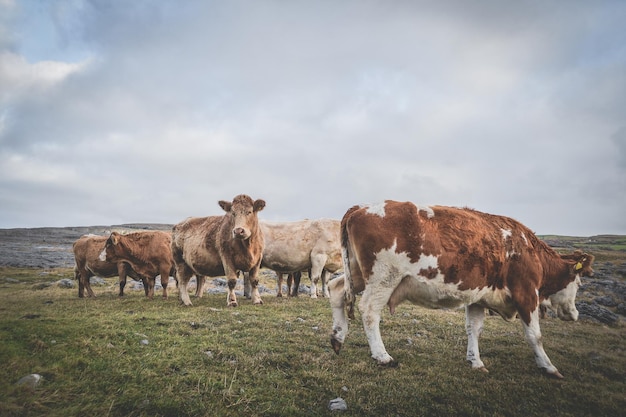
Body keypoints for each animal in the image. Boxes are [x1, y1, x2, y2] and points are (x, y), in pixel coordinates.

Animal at [330, 202, 592, 376]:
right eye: (579, 283)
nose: (575, 314)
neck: (529, 249)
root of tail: (361, 207)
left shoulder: (478, 297)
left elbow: (474, 329)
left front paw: (475, 361)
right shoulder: (526, 293)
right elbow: (535, 335)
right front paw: (548, 366)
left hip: (356, 272)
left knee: (336, 289)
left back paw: (337, 337)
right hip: (383, 278)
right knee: (369, 311)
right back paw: (382, 356)